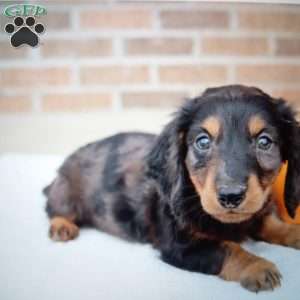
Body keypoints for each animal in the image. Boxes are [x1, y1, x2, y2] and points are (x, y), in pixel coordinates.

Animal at [44, 85, 300, 292]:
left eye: (264, 142)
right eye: (203, 141)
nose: (231, 196)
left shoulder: (257, 212)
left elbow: (275, 225)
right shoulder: (179, 246)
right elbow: (227, 248)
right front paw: (256, 266)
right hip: (66, 193)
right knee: (54, 209)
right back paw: (62, 226)